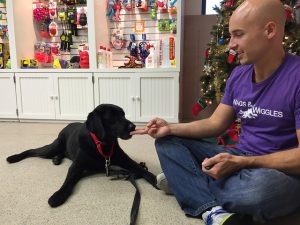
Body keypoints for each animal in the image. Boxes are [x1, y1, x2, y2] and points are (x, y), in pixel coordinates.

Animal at [6, 103, 157, 207]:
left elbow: (141, 168)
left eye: (123, 115)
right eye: (113, 117)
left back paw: (56, 159)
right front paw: (58, 195)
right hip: (52, 148)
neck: (102, 144)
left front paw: (156, 179)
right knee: (32, 150)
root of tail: (67, 125)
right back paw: (13, 157)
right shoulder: (76, 166)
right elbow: (67, 182)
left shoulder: (125, 160)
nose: (133, 127)